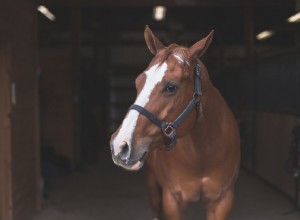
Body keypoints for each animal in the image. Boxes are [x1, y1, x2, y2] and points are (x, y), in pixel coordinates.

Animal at [109, 26, 239, 220]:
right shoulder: (173, 201)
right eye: (138, 82)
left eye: (171, 87)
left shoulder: (221, 202)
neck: (204, 154)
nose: (119, 145)